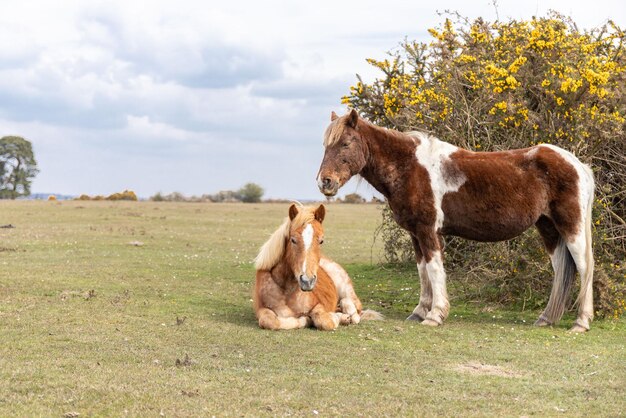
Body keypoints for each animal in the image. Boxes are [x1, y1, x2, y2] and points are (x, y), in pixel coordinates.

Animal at [252, 203, 380, 330]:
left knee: (355, 309)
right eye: (293, 240)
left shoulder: (319, 304)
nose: (307, 281)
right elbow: (269, 321)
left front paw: (329, 318)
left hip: (346, 289)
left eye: (321, 241)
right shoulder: (261, 309)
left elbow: (324, 320)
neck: (286, 290)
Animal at [314, 110, 592, 334]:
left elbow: (435, 270)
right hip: (548, 228)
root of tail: (577, 164)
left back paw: (581, 322)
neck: (410, 167)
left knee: (585, 267)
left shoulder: (428, 231)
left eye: (346, 143)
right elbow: (423, 271)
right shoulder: (415, 234)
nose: (324, 182)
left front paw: (435, 315)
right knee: (561, 268)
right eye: (326, 146)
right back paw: (546, 318)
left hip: (571, 227)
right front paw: (419, 312)